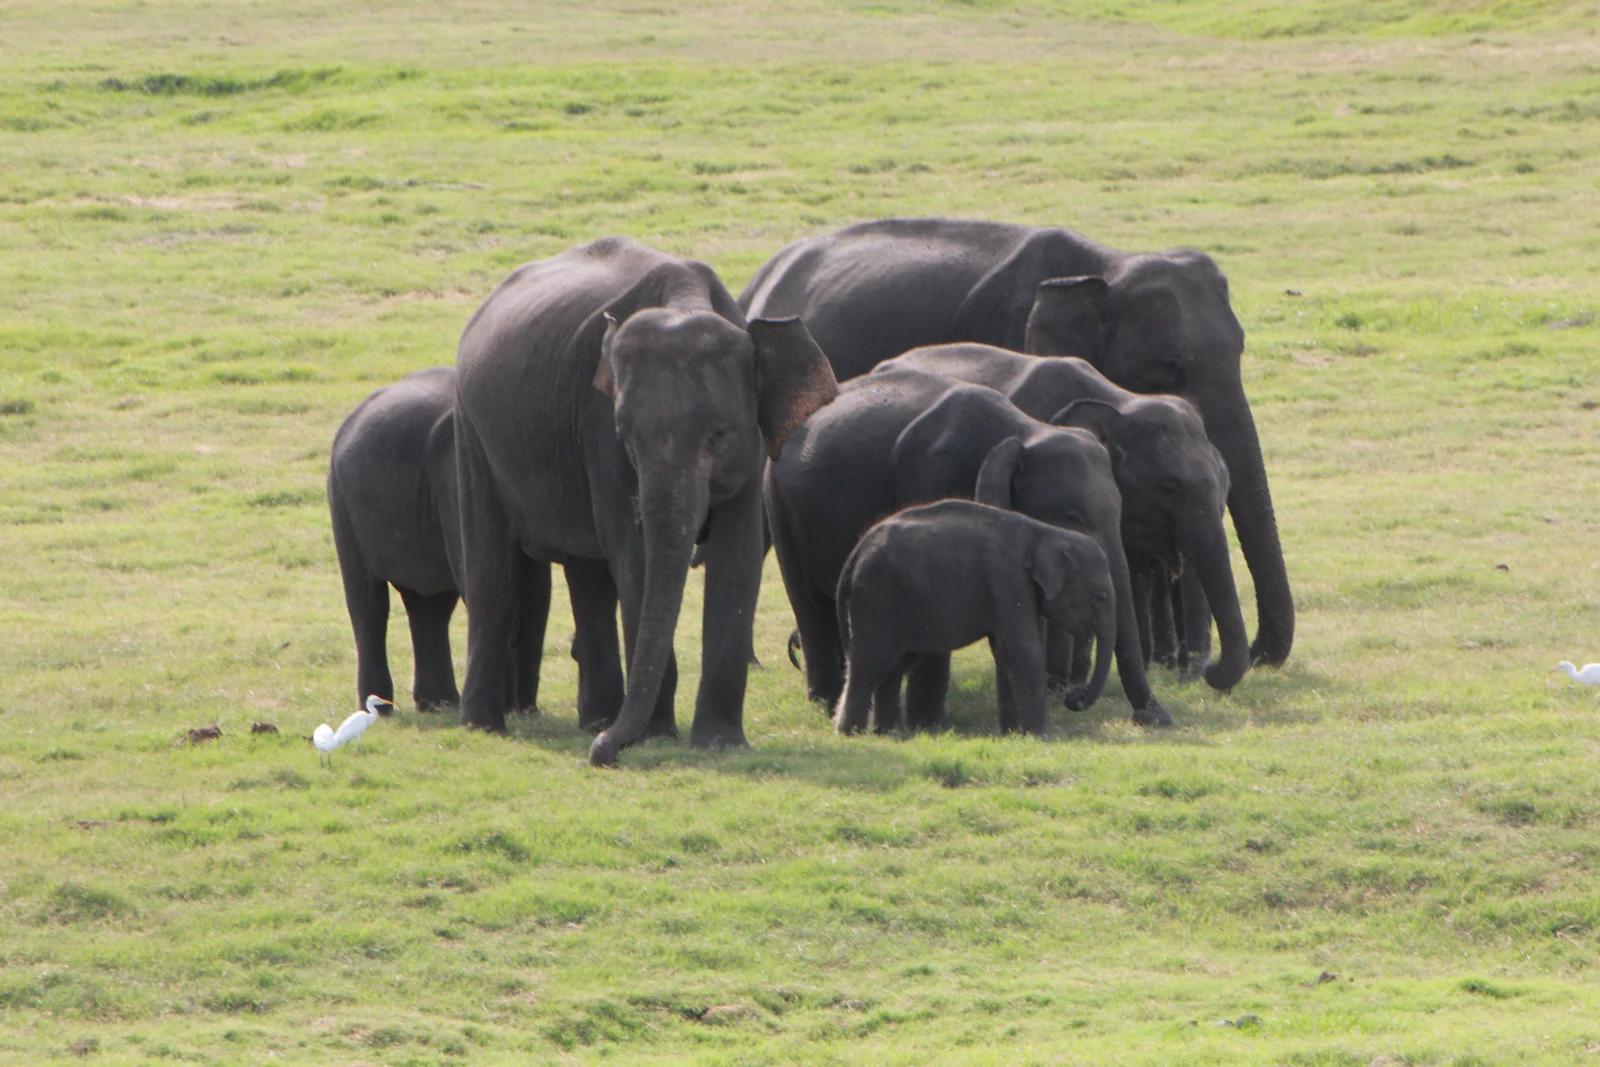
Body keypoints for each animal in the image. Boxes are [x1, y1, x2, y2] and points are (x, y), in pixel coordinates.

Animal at [454, 237, 838, 766]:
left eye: (718, 435)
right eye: (627, 437)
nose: (600, 755)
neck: (684, 302)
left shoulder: (751, 441)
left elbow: (737, 554)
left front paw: (719, 743)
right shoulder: (597, 422)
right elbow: (632, 552)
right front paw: (657, 734)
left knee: (589, 578)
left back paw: (595, 719)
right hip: (473, 434)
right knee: (493, 571)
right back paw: (487, 726)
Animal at [834, 499, 1117, 737]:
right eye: (1101, 595)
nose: (1074, 697)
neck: (1047, 533)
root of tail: (857, 551)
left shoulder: (1019, 589)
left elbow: (1006, 653)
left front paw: (1013, 735)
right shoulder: (1008, 580)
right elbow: (1024, 650)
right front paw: (1040, 737)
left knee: (894, 665)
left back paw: (888, 733)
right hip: (876, 594)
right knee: (869, 662)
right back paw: (851, 733)